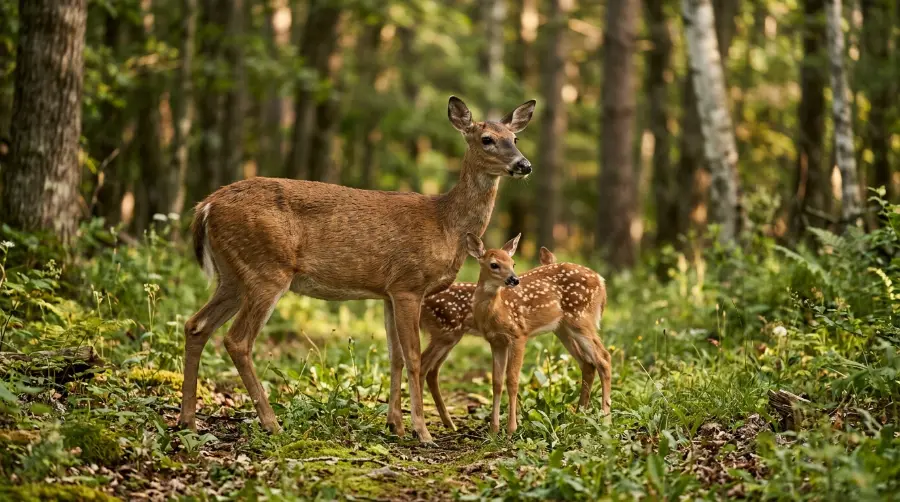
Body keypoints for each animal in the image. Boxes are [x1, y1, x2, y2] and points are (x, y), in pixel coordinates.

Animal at [177, 96, 536, 445]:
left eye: (515, 138)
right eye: (487, 139)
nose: (524, 165)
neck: (446, 224)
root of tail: (206, 206)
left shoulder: (389, 292)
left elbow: (394, 357)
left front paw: (395, 426)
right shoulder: (409, 284)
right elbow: (413, 357)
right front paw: (422, 432)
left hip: (232, 275)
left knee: (195, 325)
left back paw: (188, 421)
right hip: (266, 269)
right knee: (237, 340)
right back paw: (271, 424)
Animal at [461, 233, 611, 434]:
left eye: (513, 263)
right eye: (494, 264)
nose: (514, 280)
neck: (496, 311)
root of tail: (601, 281)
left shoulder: (518, 334)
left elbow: (513, 380)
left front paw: (511, 429)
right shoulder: (496, 341)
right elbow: (496, 382)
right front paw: (493, 430)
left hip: (581, 319)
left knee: (604, 358)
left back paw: (606, 422)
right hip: (563, 328)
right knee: (588, 364)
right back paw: (578, 419)